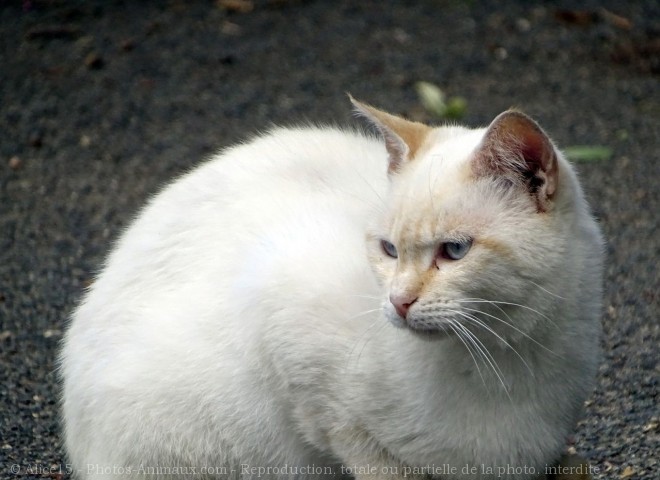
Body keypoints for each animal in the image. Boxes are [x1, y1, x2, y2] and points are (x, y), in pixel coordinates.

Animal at [60, 95, 604, 478]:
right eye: (388, 249)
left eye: (454, 251)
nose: (398, 302)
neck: (503, 358)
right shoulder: (299, 355)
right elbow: (362, 450)